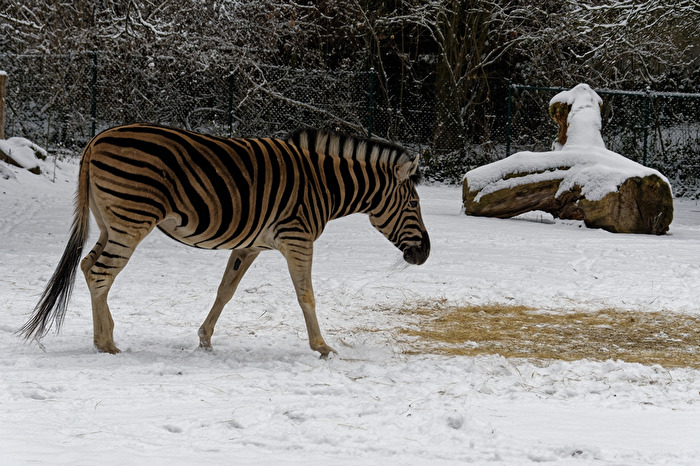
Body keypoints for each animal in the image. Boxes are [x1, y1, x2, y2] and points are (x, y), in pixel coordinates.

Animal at [19, 123, 430, 357]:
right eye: (413, 203)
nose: (425, 254)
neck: (323, 185)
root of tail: (96, 138)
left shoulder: (251, 244)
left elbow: (225, 290)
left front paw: (204, 339)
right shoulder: (297, 238)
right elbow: (306, 296)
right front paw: (322, 347)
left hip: (110, 223)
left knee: (89, 266)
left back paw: (102, 338)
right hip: (131, 221)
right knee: (101, 273)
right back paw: (106, 344)